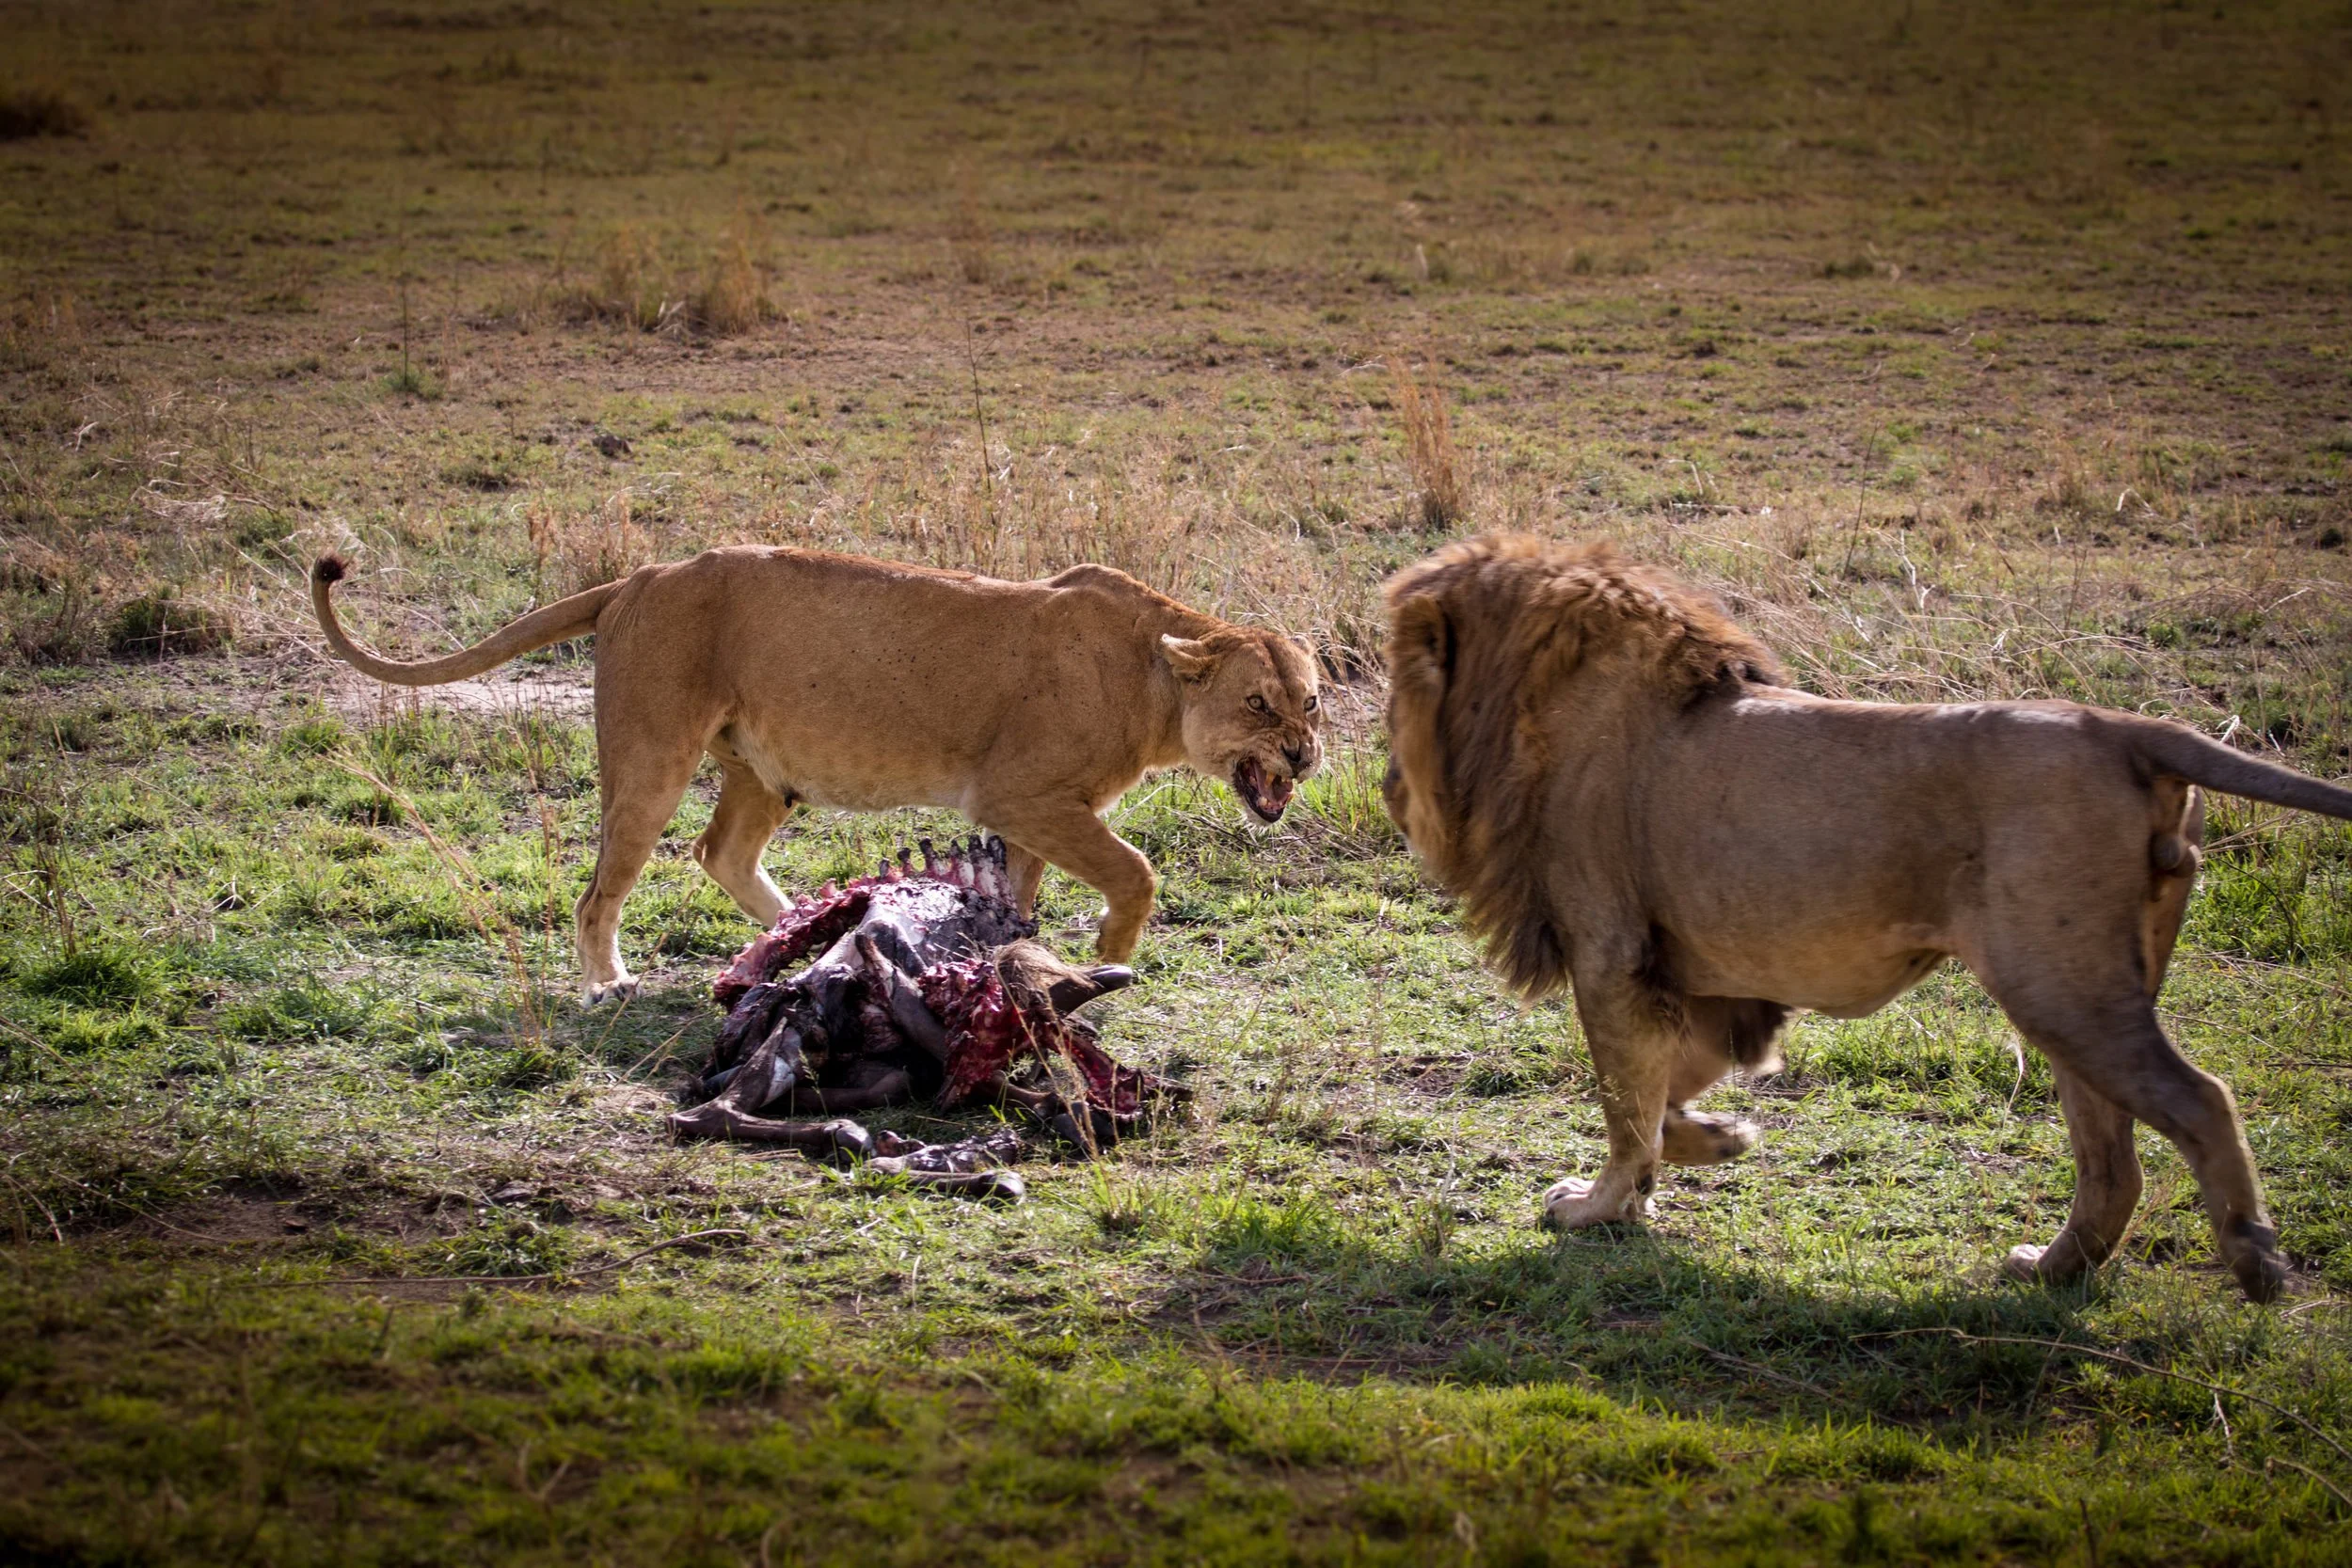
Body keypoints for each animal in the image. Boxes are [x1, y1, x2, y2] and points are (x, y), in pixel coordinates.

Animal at [311, 547, 1322, 1001]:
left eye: (1310, 701)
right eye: (1258, 705)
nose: (1306, 756)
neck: (1157, 682)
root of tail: (643, 574)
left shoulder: (1036, 811)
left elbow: (1027, 890)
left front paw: (1027, 958)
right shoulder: (1019, 792)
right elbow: (1135, 871)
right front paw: (1109, 960)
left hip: (763, 770)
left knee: (721, 853)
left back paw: (806, 935)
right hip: (651, 755)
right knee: (603, 886)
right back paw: (608, 983)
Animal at [1382, 533, 2352, 1302]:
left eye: (1395, 694)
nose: (1388, 783)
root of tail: (2124, 728)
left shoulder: (1609, 951)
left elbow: (1624, 1099)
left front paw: (1598, 1207)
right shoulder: (1687, 971)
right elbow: (1666, 1090)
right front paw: (1719, 1139)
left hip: (2062, 990)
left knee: (2201, 1099)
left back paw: (2255, 1262)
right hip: (2082, 996)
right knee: (2113, 1161)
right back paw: (2048, 1270)